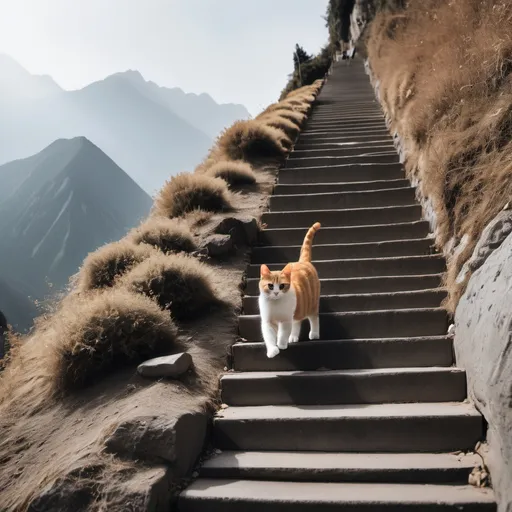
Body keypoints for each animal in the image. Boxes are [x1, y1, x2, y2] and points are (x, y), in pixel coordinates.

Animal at [260, 222, 320, 358]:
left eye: (282, 286)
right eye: (270, 286)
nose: (276, 292)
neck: (276, 303)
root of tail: (303, 261)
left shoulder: (286, 320)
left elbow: (283, 333)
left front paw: (281, 344)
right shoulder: (267, 321)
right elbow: (269, 336)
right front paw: (272, 350)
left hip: (312, 304)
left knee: (313, 318)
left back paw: (314, 334)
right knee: (297, 321)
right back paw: (293, 337)